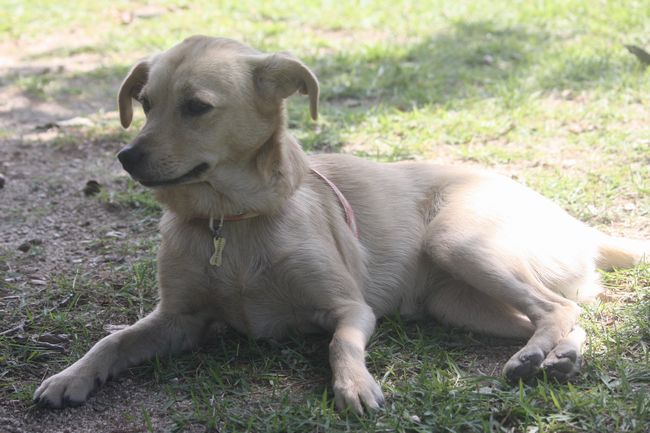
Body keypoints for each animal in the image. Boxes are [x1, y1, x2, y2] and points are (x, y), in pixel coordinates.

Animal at [34, 36, 649, 414]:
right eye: (143, 102)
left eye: (197, 107)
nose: (126, 157)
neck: (231, 223)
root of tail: (579, 226)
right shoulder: (177, 321)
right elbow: (112, 341)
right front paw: (70, 377)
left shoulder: (351, 308)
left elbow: (340, 344)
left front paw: (354, 384)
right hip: (457, 302)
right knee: (562, 315)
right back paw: (558, 356)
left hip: (460, 243)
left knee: (558, 307)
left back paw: (544, 353)